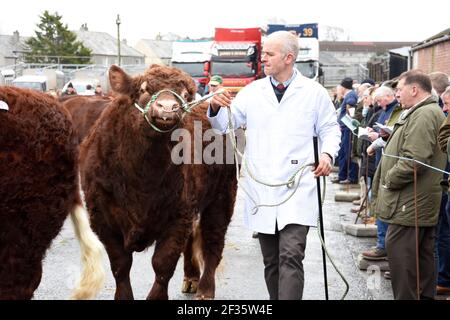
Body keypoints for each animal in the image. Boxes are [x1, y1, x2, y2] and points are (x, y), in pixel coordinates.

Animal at [79, 65, 237, 300]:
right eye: (143, 89)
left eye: (185, 94)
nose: (168, 107)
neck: (143, 175)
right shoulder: (103, 219)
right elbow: (120, 265)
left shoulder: (178, 217)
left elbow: (163, 264)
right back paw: (191, 278)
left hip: (222, 197)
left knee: (213, 242)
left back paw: (205, 289)